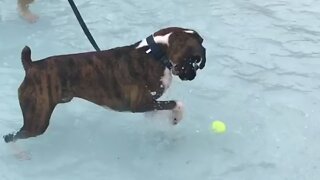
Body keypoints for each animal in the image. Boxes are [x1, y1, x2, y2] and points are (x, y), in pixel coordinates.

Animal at [3, 26, 206, 143]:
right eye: (196, 59)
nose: (193, 75)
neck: (155, 53)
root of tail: (32, 66)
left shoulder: (150, 103)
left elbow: (160, 109)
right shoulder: (140, 104)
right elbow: (177, 103)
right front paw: (176, 118)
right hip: (37, 122)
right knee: (12, 137)